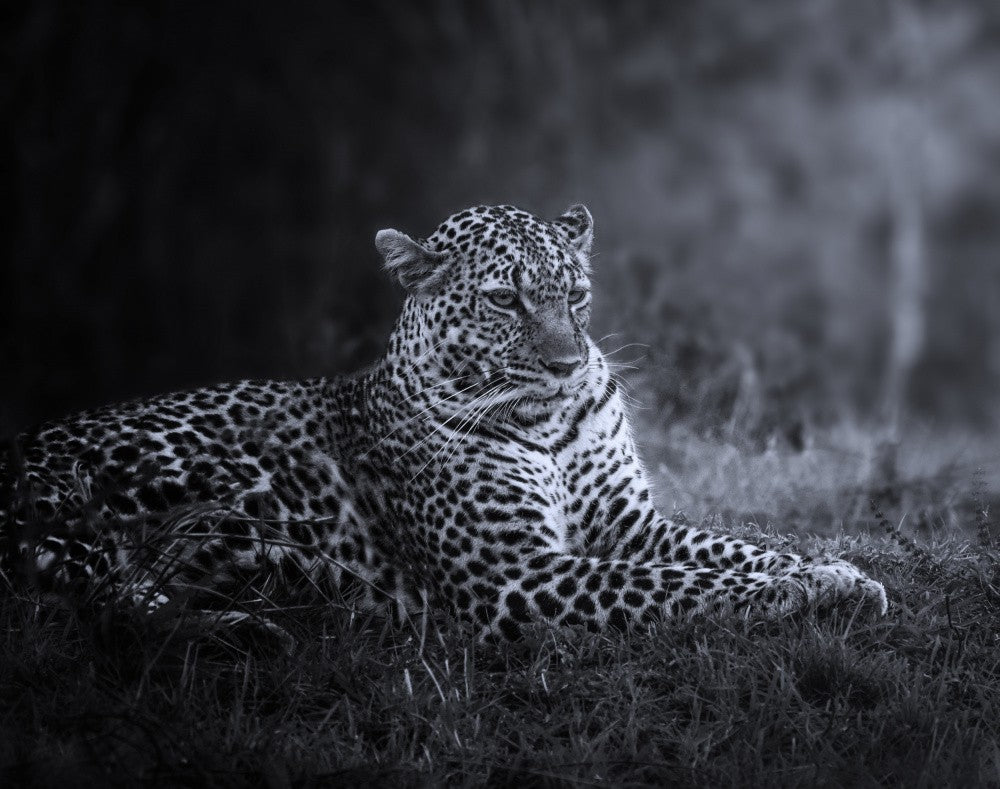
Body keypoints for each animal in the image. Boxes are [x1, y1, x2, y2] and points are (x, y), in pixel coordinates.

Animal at [0, 204, 887, 641]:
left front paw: (836, 573)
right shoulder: (512, 573)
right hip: (120, 500)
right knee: (103, 604)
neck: (547, 422)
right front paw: (797, 590)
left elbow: (728, 547)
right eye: (504, 300)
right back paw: (256, 625)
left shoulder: (628, 524)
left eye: (575, 293)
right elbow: (675, 584)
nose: (569, 365)